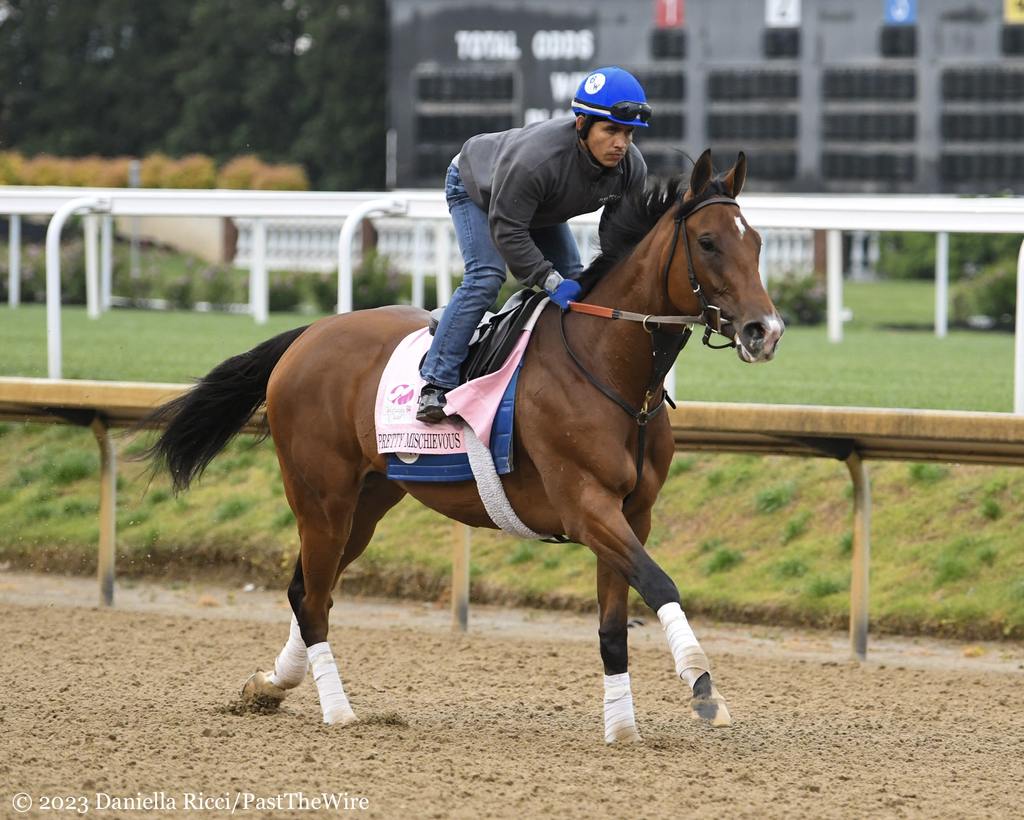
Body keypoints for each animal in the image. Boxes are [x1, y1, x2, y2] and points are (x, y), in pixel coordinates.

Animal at [144, 148, 782, 741]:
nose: (765, 331)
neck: (608, 366)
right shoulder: (586, 506)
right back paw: (338, 711)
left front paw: (622, 729)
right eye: (707, 241)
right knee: (316, 600)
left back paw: (270, 685)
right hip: (321, 499)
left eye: (756, 244)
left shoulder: (633, 512)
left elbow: (613, 624)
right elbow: (659, 582)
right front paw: (704, 687)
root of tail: (309, 334)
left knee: (306, 591)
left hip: (367, 504)